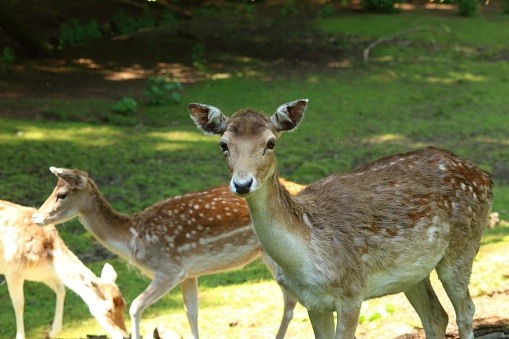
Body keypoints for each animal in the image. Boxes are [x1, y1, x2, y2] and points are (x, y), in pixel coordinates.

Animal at [0, 199, 127, 339]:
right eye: (108, 309)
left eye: (124, 304)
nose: (125, 336)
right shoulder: (13, 272)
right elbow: (19, 303)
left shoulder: (42, 275)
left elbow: (61, 289)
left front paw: (51, 333)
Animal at [32, 167, 306, 339]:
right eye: (53, 191)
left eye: (61, 194)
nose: (36, 217)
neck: (132, 238)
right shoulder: (189, 274)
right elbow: (192, 314)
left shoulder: (169, 269)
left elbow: (135, 306)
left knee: (292, 298)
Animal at [187, 99, 492, 339]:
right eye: (223, 145)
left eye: (270, 142)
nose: (242, 183)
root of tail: (485, 177)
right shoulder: (312, 303)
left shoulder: (352, 291)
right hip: (413, 273)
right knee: (436, 316)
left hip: (463, 248)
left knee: (466, 309)